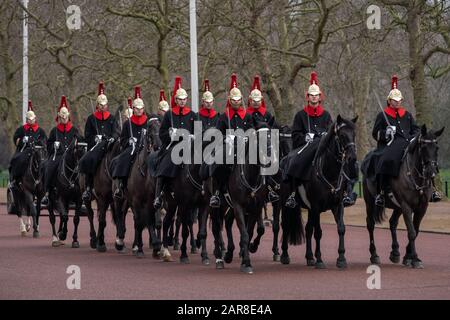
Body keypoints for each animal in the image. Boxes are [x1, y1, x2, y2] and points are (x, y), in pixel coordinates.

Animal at [282, 115, 358, 268]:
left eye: (354, 134)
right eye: (342, 135)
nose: (352, 158)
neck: (330, 172)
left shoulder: (337, 204)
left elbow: (341, 228)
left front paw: (341, 258)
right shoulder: (316, 206)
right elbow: (318, 232)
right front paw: (320, 259)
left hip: (310, 210)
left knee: (307, 229)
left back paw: (309, 257)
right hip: (286, 205)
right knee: (286, 226)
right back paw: (285, 256)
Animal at [360, 124, 444, 268]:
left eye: (436, 147)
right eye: (423, 147)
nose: (431, 172)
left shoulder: (422, 207)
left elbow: (416, 230)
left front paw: (408, 257)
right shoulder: (406, 206)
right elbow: (411, 232)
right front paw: (415, 258)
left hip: (397, 206)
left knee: (392, 223)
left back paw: (395, 252)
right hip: (370, 202)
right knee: (370, 224)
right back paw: (374, 255)